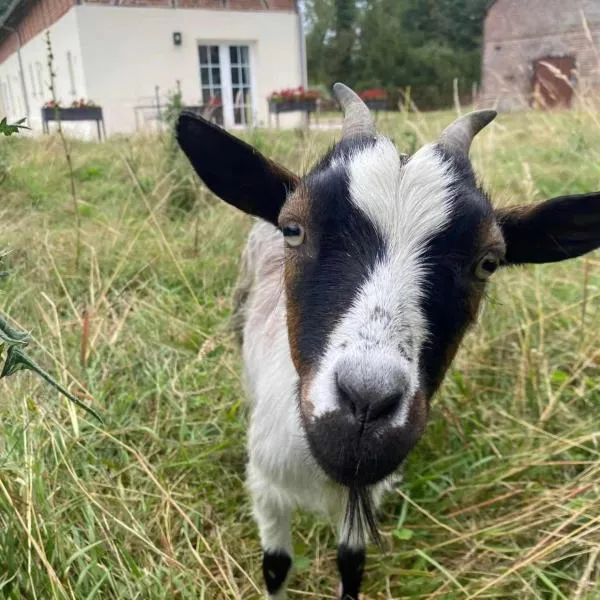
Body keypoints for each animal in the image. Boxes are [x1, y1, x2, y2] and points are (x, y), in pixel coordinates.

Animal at [176, 84, 600, 600]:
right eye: (294, 229)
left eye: (488, 262)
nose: (366, 404)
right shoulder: (266, 484)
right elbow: (276, 565)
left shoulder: (364, 491)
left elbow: (351, 560)